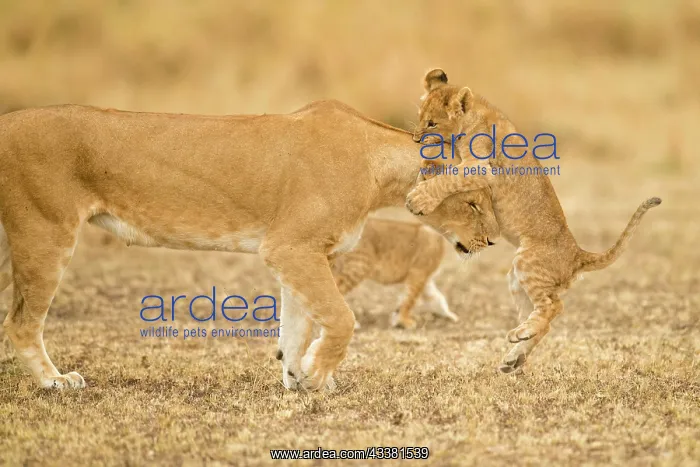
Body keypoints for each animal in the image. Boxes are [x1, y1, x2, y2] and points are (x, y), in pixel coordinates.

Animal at [331, 217, 462, 330]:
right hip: (358, 268)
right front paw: (404, 321)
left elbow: (436, 298)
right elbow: (410, 300)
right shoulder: (418, 274)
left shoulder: (426, 279)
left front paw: (450, 315)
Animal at [405, 69, 661, 373]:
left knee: (554, 306)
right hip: (517, 279)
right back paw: (514, 355)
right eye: (420, 115)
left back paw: (518, 337)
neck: (472, 118)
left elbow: (448, 179)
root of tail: (577, 254)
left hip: (528, 261)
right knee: (546, 317)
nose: (416, 139)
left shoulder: (479, 167)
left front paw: (419, 198)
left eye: (432, 123)